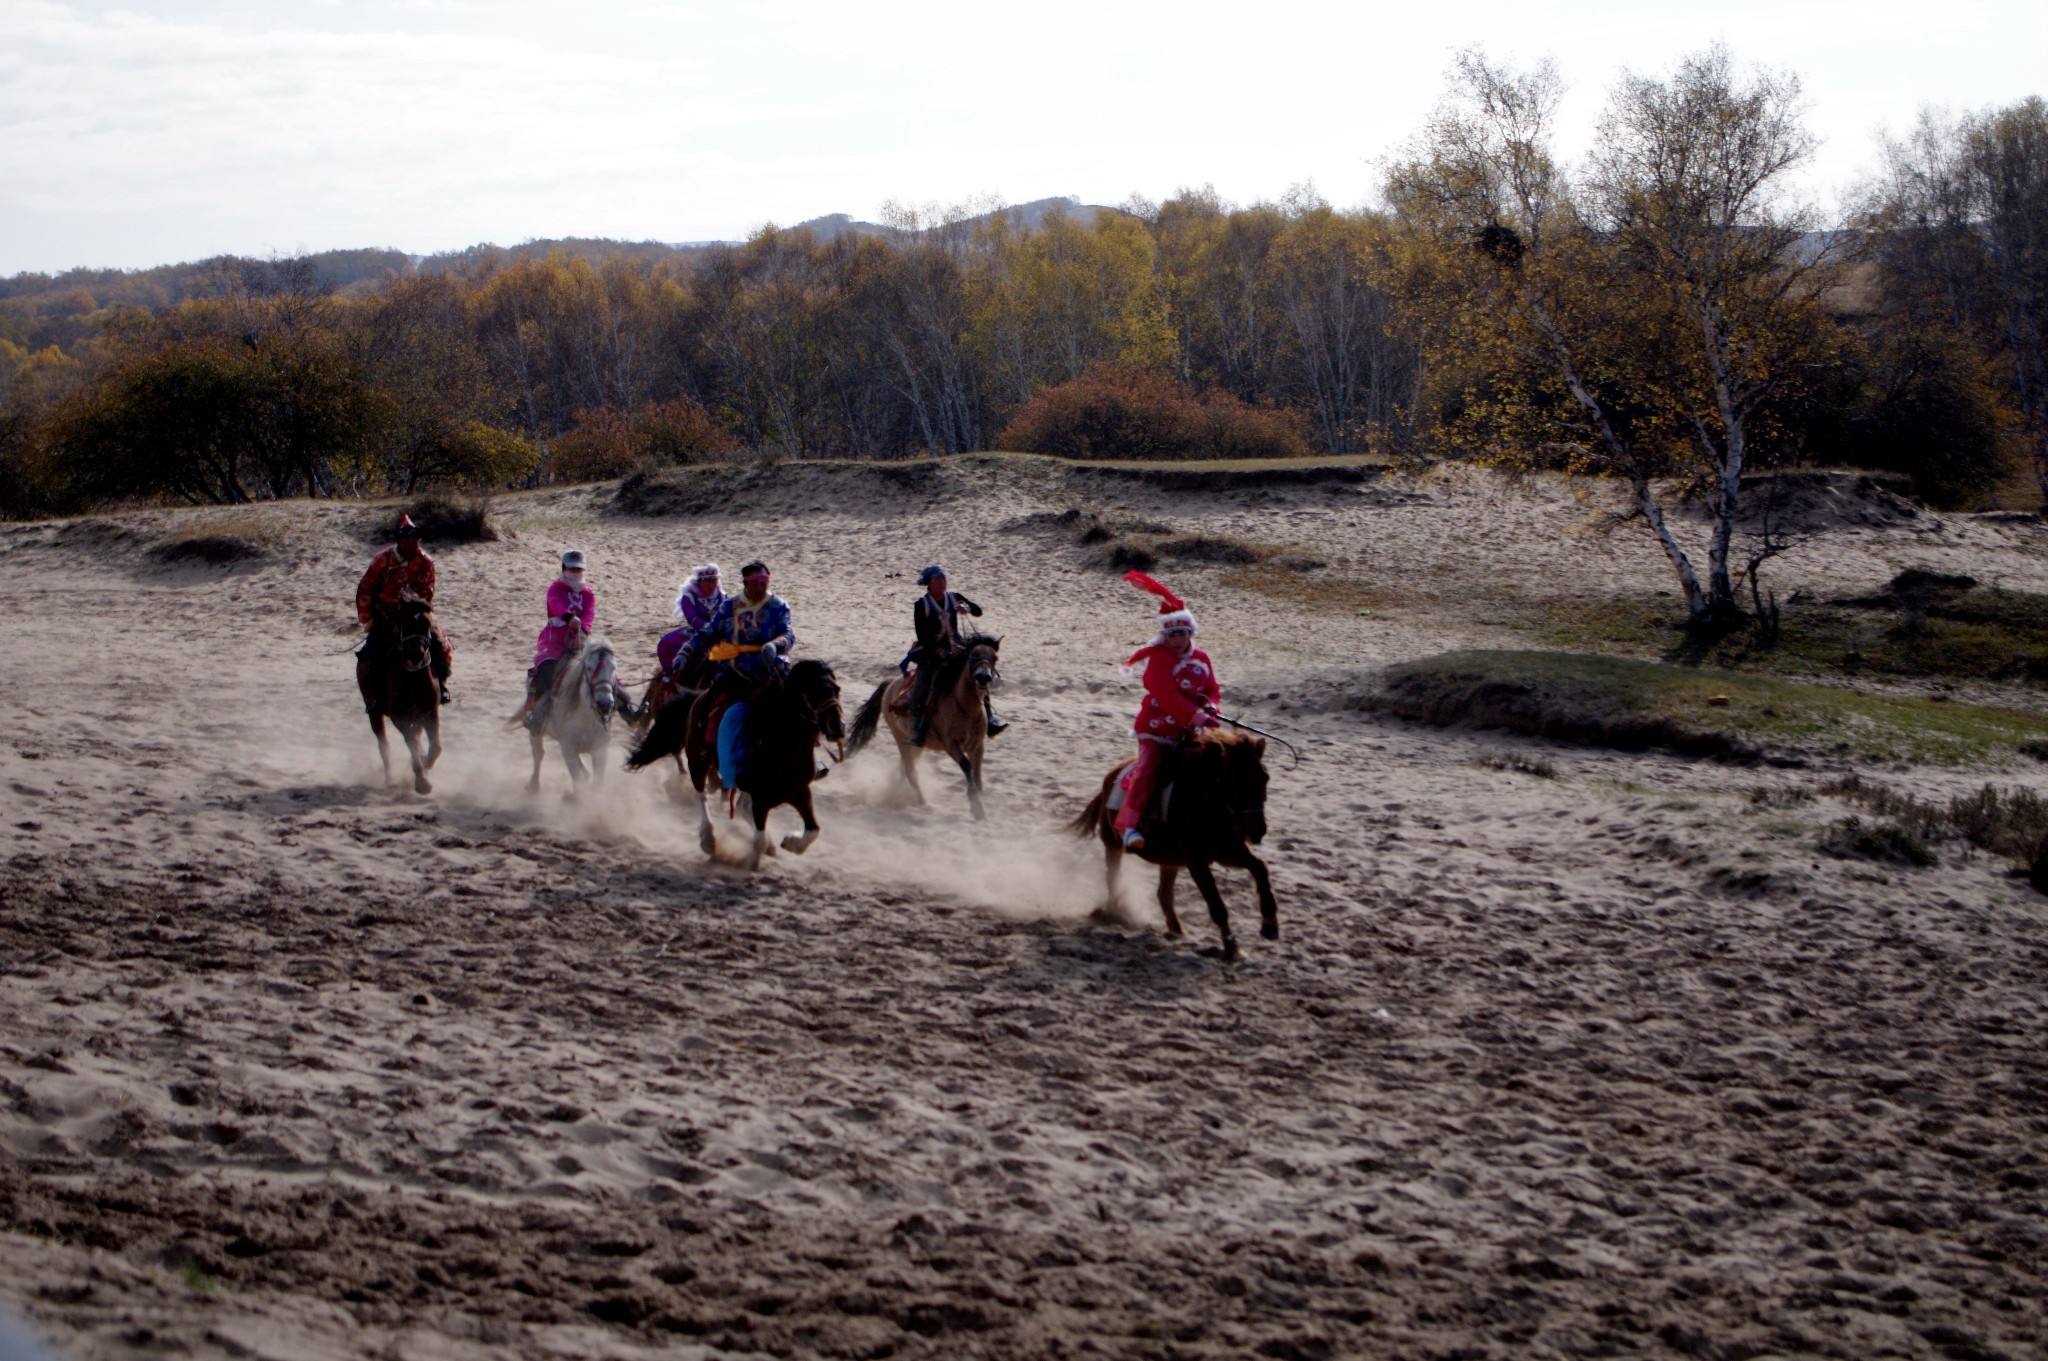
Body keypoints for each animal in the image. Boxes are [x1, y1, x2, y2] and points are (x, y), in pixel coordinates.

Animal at [354, 593, 442, 798]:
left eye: (427, 623)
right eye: (404, 621)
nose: (416, 654)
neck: (412, 678)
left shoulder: (430, 711)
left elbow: (435, 747)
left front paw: (425, 765)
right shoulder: (399, 717)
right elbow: (411, 742)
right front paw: (422, 782)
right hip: (374, 713)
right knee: (384, 746)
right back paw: (390, 780)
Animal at [516, 634, 618, 798]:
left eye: (614, 668)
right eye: (589, 668)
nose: (605, 704)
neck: (586, 718)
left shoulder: (601, 750)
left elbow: (597, 783)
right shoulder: (567, 749)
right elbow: (577, 781)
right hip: (535, 728)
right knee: (538, 754)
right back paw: (533, 785)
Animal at [626, 659, 843, 871]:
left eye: (837, 689)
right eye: (814, 690)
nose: (838, 727)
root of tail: (698, 698)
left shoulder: (799, 791)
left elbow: (813, 830)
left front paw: (789, 842)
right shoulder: (761, 797)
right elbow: (759, 839)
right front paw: (754, 862)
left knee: (739, 805)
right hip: (698, 759)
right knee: (701, 794)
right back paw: (709, 840)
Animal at [843, 634, 1003, 818]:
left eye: (994, 658)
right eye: (972, 656)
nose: (984, 677)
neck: (964, 707)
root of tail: (890, 684)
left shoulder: (977, 746)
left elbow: (977, 775)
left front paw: (981, 806)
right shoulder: (951, 745)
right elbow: (966, 766)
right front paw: (975, 806)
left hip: (917, 745)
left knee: (903, 768)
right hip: (900, 737)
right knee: (911, 772)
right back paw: (923, 803)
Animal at [1073, 728, 1277, 961]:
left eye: (1265, 777)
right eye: (1238, 781)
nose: (1257, 830)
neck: (1204, 802)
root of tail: (1110, 777)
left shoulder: (1227, 851)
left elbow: (1259, 867)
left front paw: (1270, 924)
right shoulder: (1196, 862)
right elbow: (1216, 904)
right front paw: (1232, 947)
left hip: (1169, 859)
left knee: (1164, 894)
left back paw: (1177, 930)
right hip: (1112, 844)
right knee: (1114, 879)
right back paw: (1113, 911)